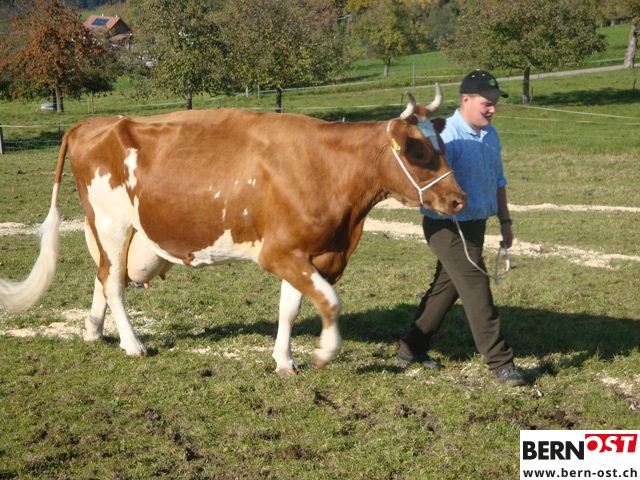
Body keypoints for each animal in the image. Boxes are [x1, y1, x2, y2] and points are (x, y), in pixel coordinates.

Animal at [0, 87, 465, 375]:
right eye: (418, 150)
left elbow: (291, 309)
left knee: (102, 278)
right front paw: (325, 351)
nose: (458, 200)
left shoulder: (304, 251)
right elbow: (330, 302)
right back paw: (132, 343)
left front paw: (284, 361)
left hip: (112, 230)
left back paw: (94, 332)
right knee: (113, 283)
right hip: (113, 224)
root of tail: (92, 123)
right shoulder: (278, 253)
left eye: (442, 145)